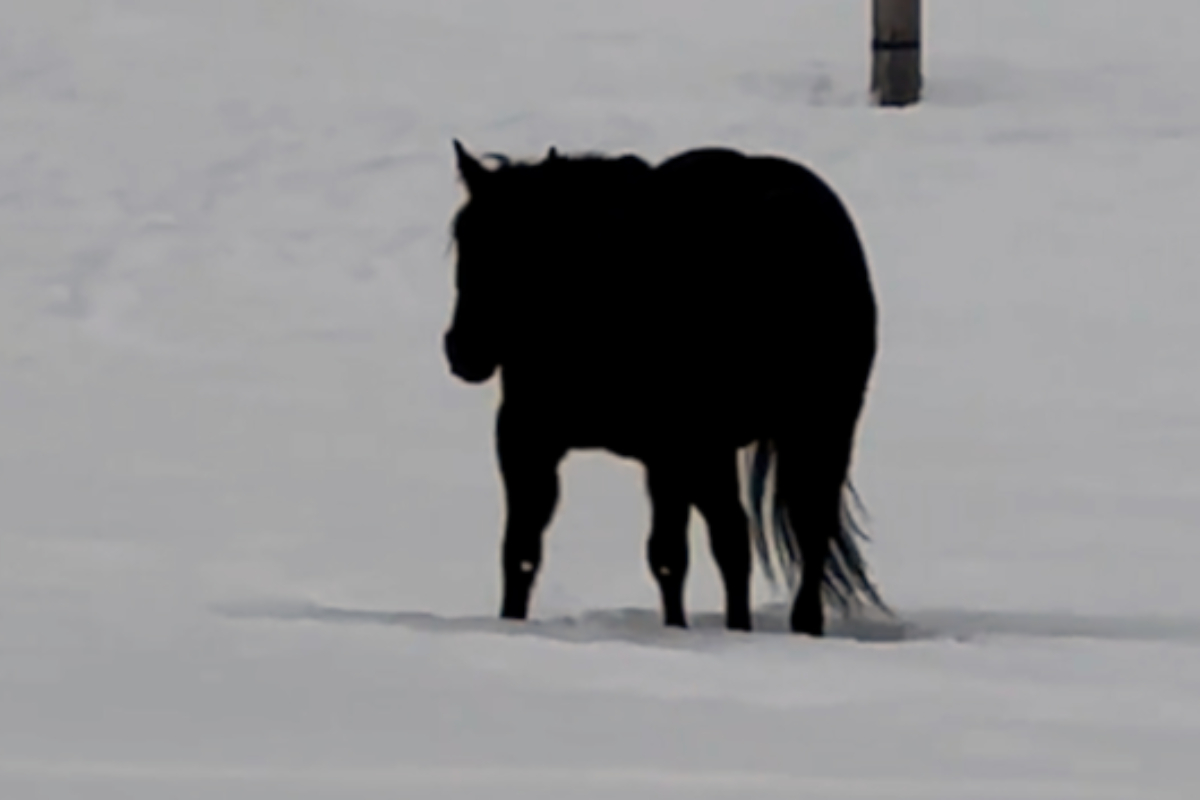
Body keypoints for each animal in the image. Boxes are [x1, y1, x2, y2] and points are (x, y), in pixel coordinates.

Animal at [441, 140, 883, 633]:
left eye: (527, 247)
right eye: (464, 236)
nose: (465, 349)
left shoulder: (671, 451)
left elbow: (669, 556)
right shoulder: (529, 440)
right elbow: (521, 551)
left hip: (806, 433)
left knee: (798, 533)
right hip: (737, 449)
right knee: (743, 538)